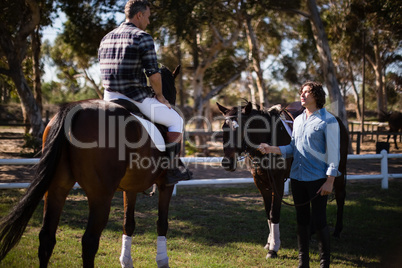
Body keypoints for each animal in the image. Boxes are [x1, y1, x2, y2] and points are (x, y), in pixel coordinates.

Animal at [0, 66, 181, 266]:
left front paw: (126, 261)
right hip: (100, 195)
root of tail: (73, 109)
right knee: (89, 241)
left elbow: (129, 223)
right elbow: (162, 223)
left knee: (47, 236)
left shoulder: (131, 186)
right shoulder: (166, 184)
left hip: (56, 188)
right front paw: (162, 261)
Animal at [217, 100, 348, 260]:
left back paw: (337, 230)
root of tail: (338, 121)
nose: (227, 163)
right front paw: (269, 242)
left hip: (338, 169)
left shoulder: (278, 182)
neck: (268, 139)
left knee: (340, 196)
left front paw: (273, 248)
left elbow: (274, 213)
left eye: (239, 128)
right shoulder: (261, 183)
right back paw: (311, 231)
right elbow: (268, 212)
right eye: (224, 127)